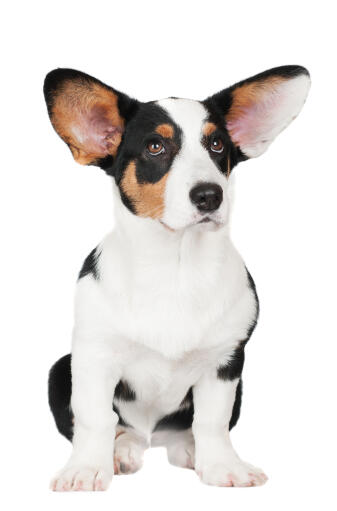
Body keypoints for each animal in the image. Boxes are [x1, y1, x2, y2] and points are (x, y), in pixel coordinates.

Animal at [44, 65, 310, 492]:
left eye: (217, 145)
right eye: (155, 147)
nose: (210, 195)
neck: (176, 264)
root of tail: (153, 437)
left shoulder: (226, 362)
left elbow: (213, 420)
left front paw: (222, 466)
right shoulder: (93, 357)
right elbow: (94, 419)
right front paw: (85, 470)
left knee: (187, 430)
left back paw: (187, 449)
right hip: (59, 370)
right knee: (121, 427)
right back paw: (122, 450)